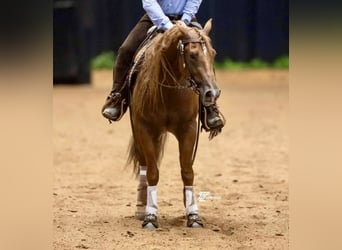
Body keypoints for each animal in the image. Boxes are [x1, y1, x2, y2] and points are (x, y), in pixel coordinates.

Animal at [127, 19, 220, 229]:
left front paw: (193, 215)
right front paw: (150, 216)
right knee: (144, 166)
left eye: (213, 54)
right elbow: (152, 172)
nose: (212, 93)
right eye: (192, 55)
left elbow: (187, 171)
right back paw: (141, 207)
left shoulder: (188, 129)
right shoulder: (144, 129)